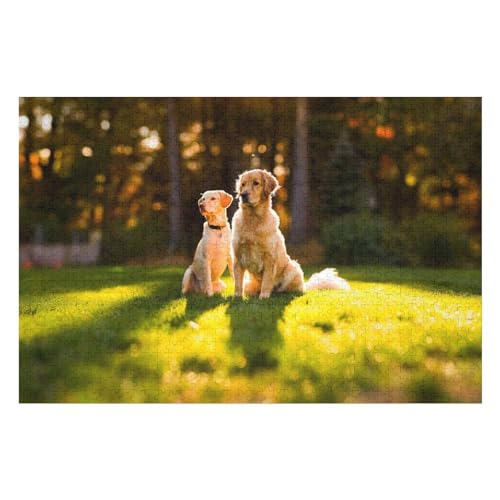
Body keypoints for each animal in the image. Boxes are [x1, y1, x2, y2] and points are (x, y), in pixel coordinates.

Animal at [232, 170, 350, 298]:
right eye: (243, 184)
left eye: (256, 183)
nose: (243, 195)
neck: (253, 219)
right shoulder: (237, 258)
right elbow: (238, 283)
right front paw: (237, 297)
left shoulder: (269, 258)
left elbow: (267, 280)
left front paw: (263, 297)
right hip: (249, 284)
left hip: (293, 268)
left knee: (286, 290)